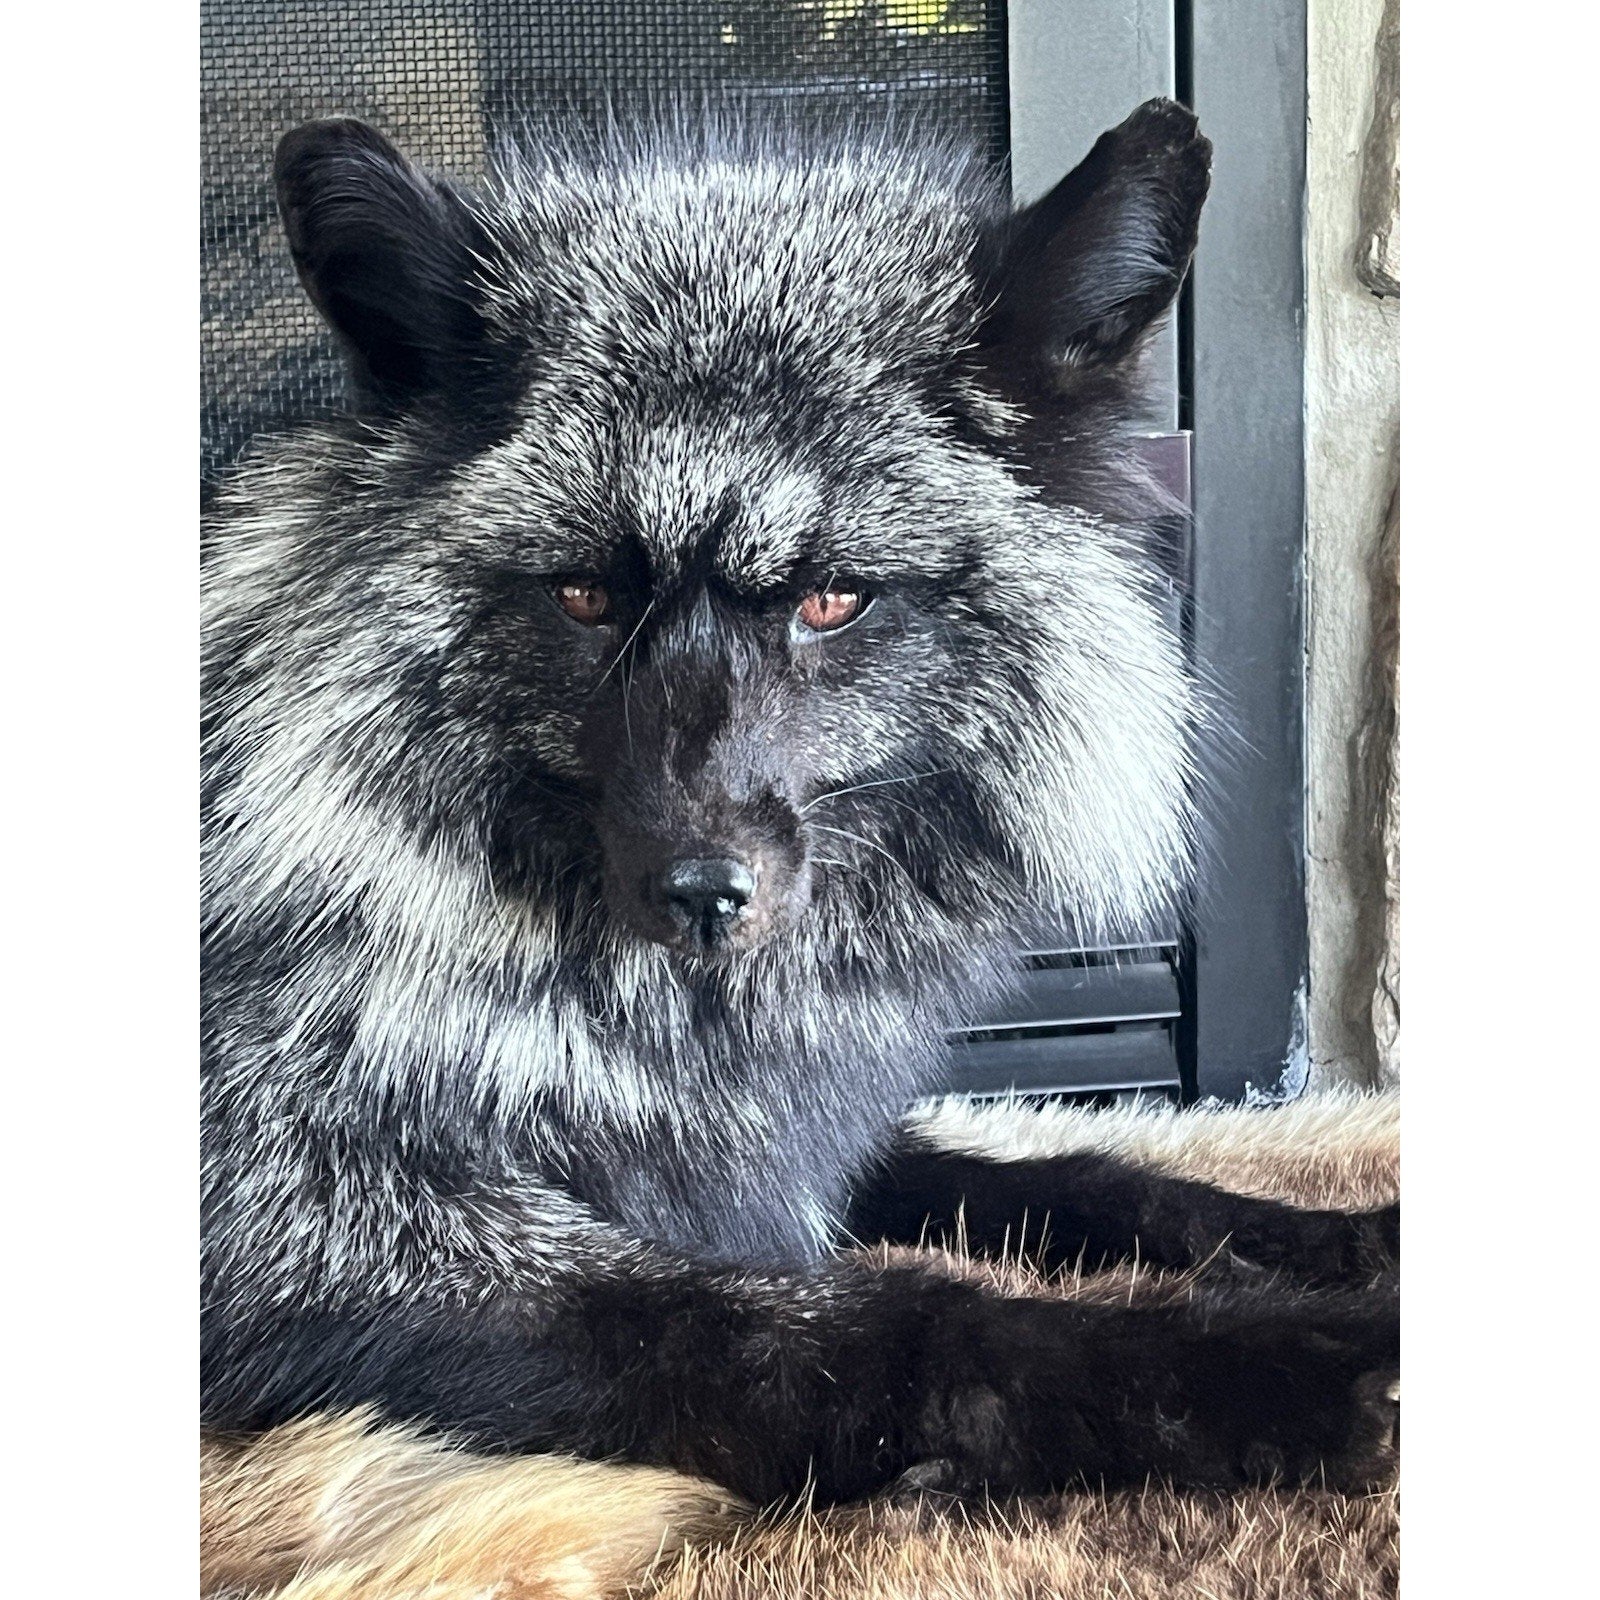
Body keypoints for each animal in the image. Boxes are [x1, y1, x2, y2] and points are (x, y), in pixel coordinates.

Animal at [201, 98, 1398, 1515]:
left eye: (833, 597)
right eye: (584, 596)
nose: (698, 891)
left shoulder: (776, 1136)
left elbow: (1093, 1179)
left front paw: (1338, 1237)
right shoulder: (306, 1236)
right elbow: (877, 1326)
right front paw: (1282, 1365)